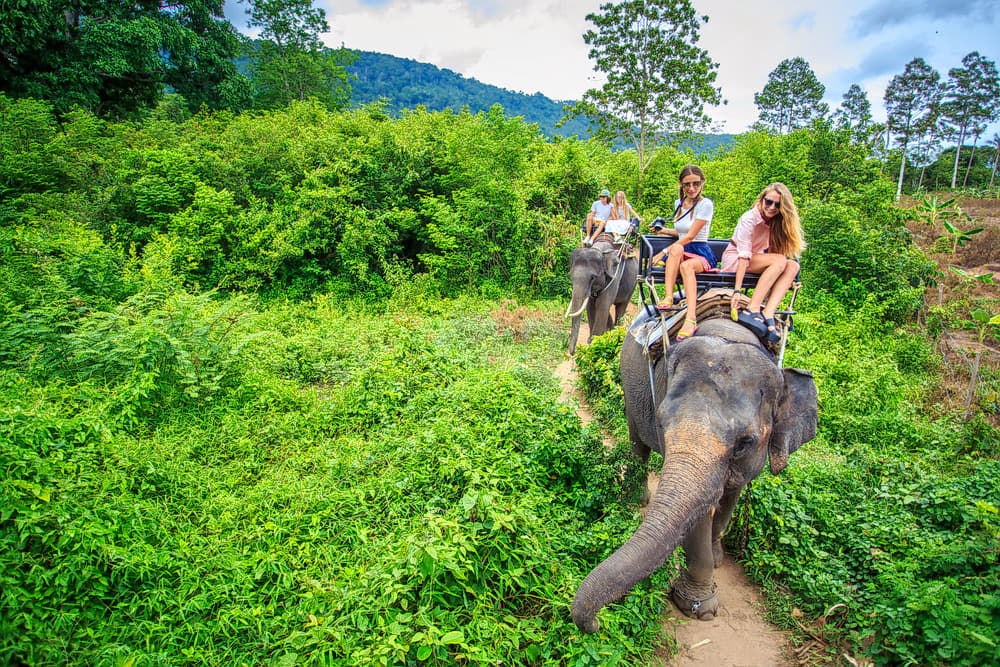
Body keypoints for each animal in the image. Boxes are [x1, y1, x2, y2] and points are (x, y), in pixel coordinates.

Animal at [571, 315, 818, 633]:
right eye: (662, 421)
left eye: (745, 442)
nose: (597, 623)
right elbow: (698, 516)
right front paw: (701, 609)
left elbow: (731, 494)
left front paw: (718, 558)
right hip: (629, 379)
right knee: (637, 437)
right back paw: (637, 499)